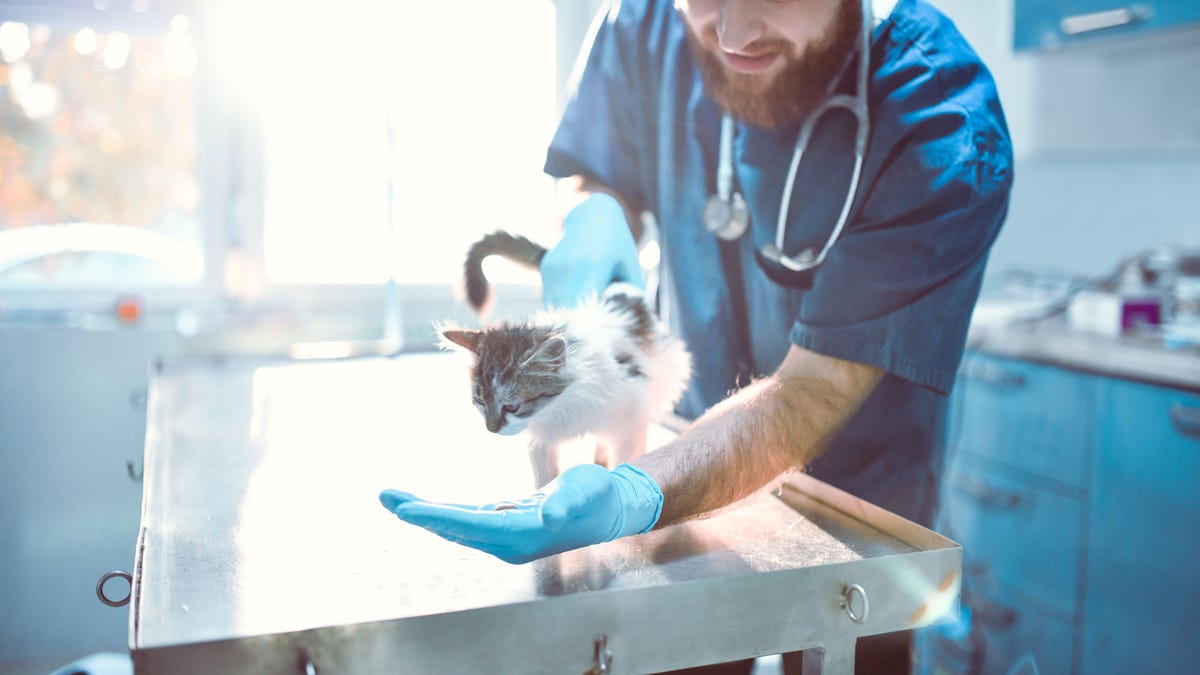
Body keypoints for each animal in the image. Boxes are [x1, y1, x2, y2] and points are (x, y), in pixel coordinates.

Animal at [441, 228, 691, 485]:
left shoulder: (629, 421)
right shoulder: (540, 439)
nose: (491, 429)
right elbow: (544, 475)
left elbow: (626, 457)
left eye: (512, 407)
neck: (558, 407)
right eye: (480, 402)